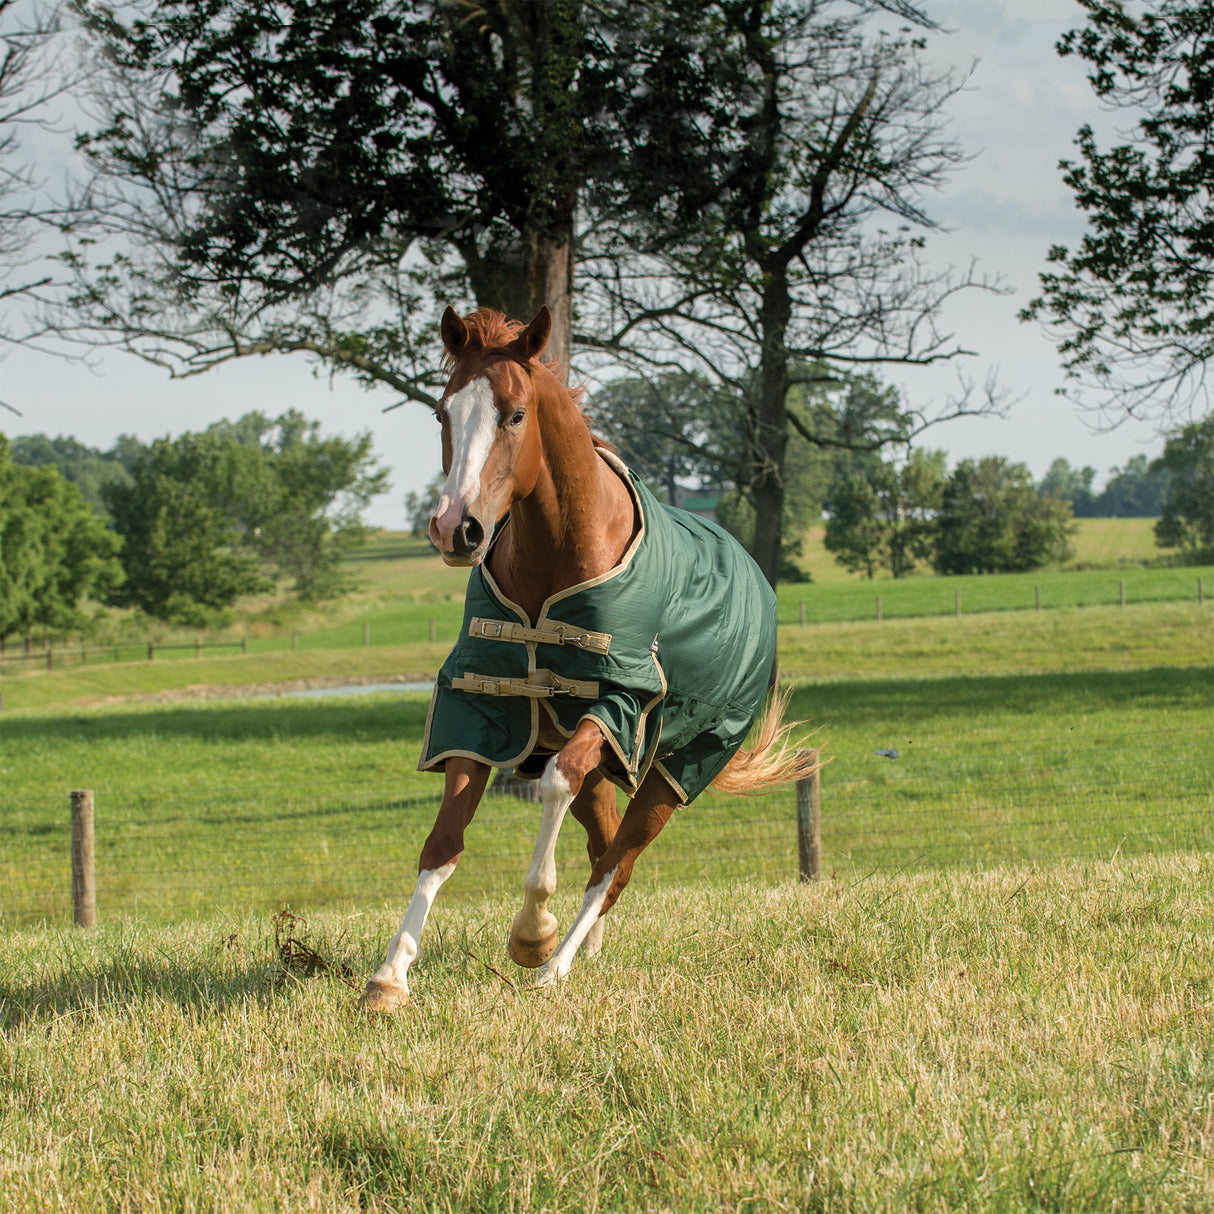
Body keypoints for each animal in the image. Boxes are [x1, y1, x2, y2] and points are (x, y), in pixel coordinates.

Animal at [362, 305, 813, 1011]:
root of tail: (756, 581)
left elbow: (552, 787)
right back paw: (586, 950)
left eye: (516, 414)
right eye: (442, 412)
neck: (557, 558)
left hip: (670, 769)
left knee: (614, 865)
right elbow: (442, 841)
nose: (456, 528)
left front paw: (531, 933)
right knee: (604, 843)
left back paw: (556, 965)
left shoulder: (619, 705)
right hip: (611, 768)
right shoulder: (480, 704)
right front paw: (390, 976)